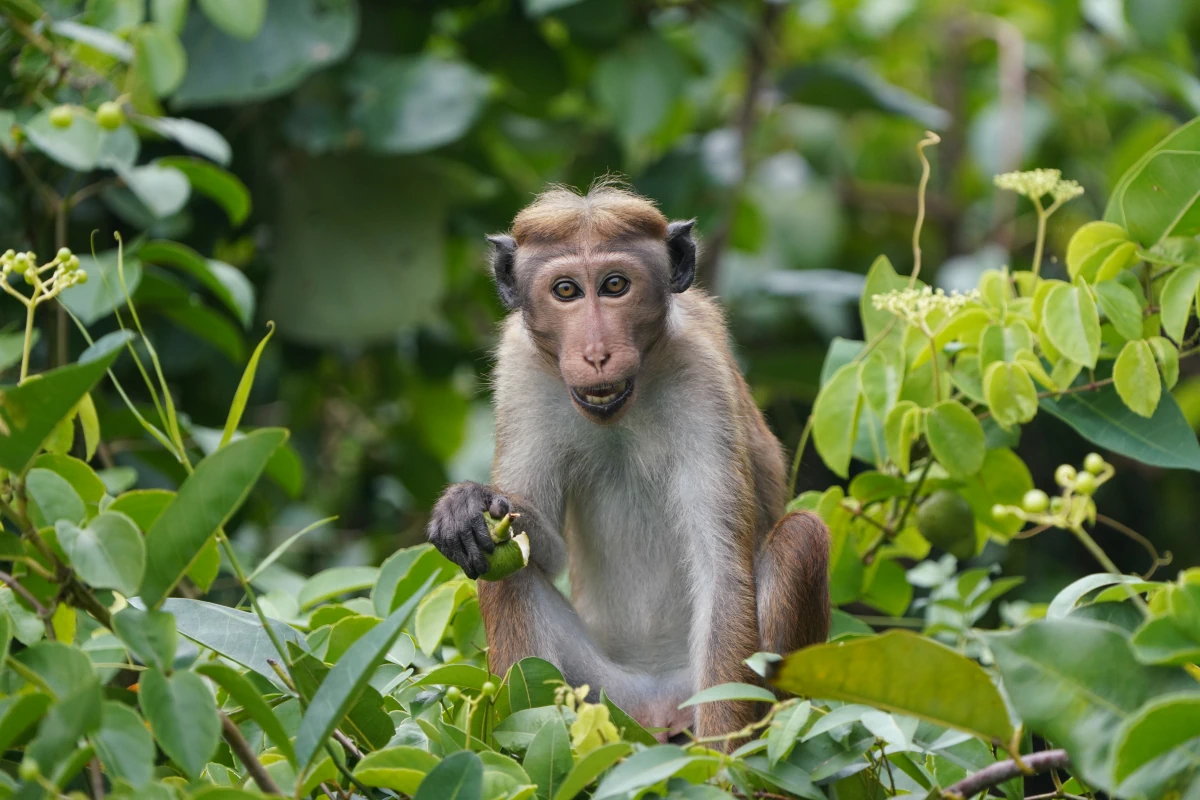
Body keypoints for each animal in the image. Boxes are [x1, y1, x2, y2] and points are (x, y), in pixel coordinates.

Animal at [427, 181, 830, 738]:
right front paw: (466, 503)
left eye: (615, 285)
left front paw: (720, 760)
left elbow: (722, 575)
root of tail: (657, 705)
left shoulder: (702, 378)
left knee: (800, 538)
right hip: (602, 695)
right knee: (503, 571)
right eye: (567, 291)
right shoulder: (521, 370)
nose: (596, 353)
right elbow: (540, 552)